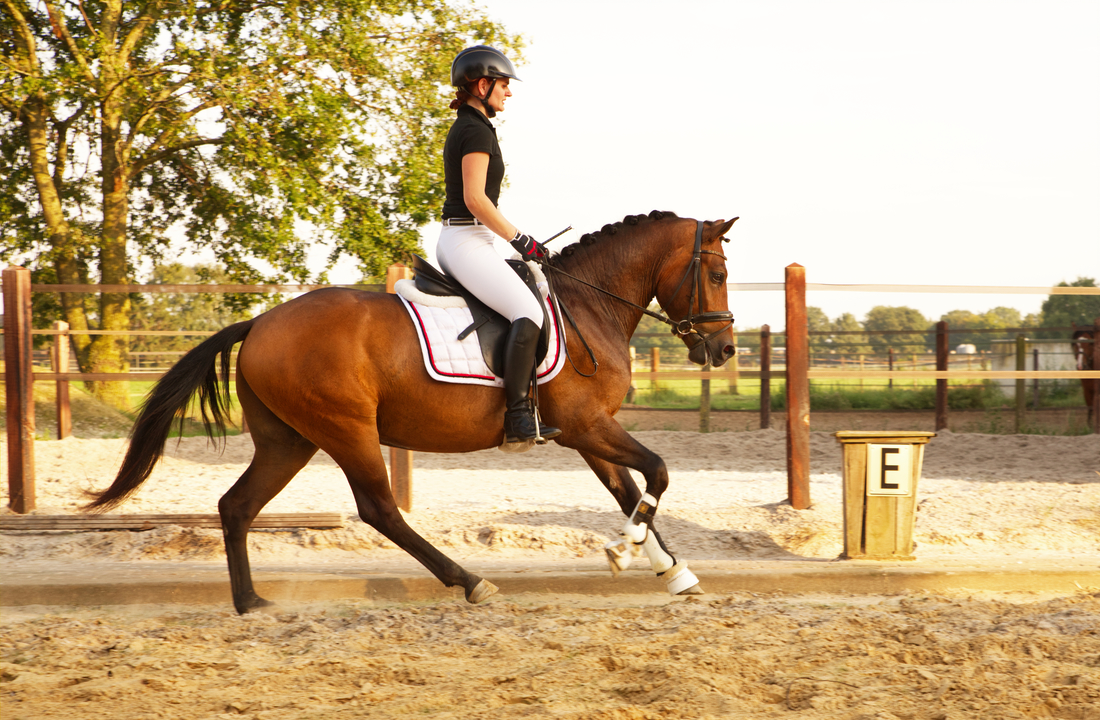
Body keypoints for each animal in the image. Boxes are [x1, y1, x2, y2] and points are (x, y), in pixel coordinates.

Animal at [85, 208, 739, 615]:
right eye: (717, 272)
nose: (724, 349)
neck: (587, 303)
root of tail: (263, 321)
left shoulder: (586, 432)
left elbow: (630, 491)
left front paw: (671, 571)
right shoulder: (587, 425)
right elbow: (656, 474)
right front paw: (625, 553)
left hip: (289, 440)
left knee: (237, 505)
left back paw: (250, 602)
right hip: (345, 430)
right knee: (379, 509)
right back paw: (471, 583)